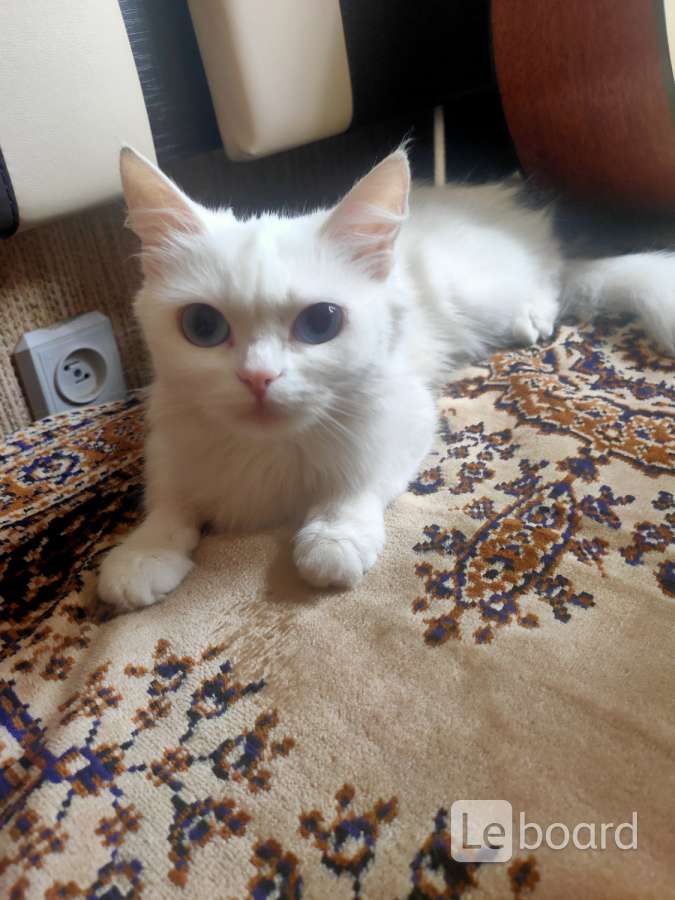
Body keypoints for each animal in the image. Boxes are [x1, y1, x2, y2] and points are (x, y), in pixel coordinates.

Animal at [98, 146, 675, 611]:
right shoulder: (169, 443)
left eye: (321, 323)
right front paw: (143, 553)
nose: (258, 378)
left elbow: (357, 480)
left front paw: (334, 538)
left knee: (554, 280)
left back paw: (532, 316)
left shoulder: (404, 415)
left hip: (476, 292)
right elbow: (167, 501)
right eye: (203, 326)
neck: (267, 451)